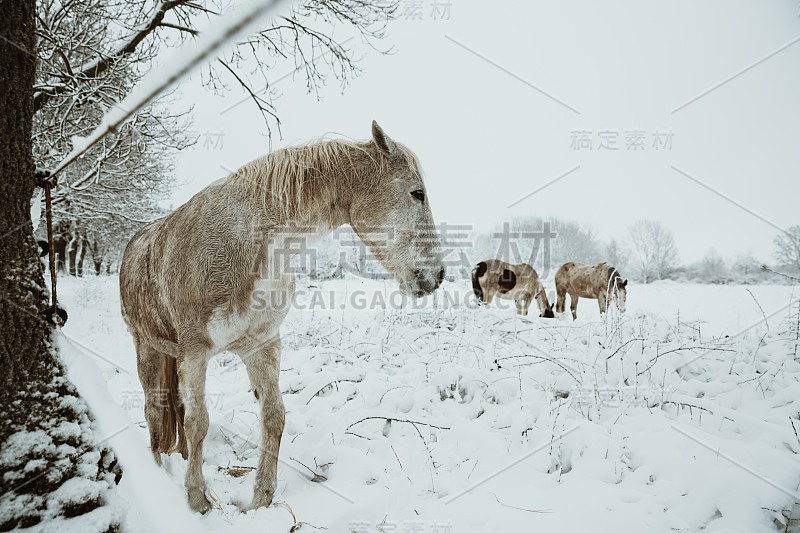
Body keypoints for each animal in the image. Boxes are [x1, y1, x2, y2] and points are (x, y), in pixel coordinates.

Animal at [119, 121, 444, 512]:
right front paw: (197, 500)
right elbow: (198, 423)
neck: (247, 245)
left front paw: (260, 498)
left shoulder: (261, 345)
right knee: (154, 412)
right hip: (147, 348)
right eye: (417, 193)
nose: (437, 275)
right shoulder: (195, 353)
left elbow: (273, 417)